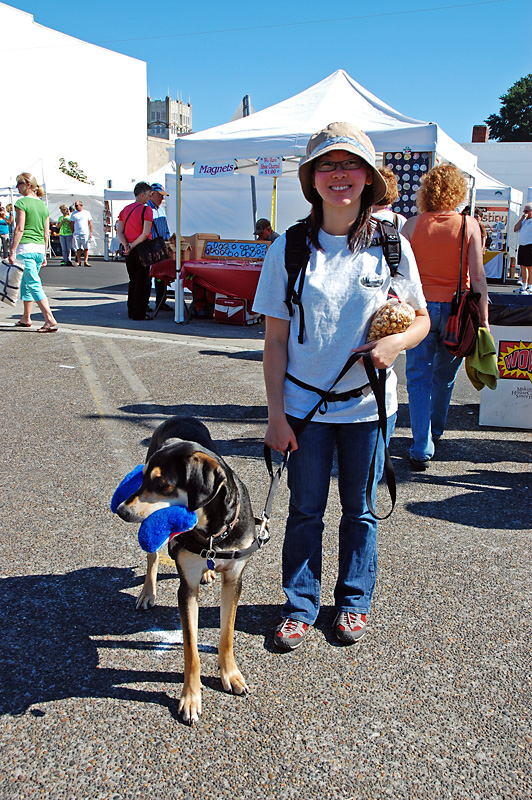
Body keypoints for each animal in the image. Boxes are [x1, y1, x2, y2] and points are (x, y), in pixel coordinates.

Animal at [116, 418, 258, 724]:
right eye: (143, 480)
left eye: (162, 484)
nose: (121, 510)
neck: (213, 532)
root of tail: (178, 418)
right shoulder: (186, 589)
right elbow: (191, 650)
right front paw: (191, 698)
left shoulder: (234, 580)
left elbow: (227, 634)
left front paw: (230, 675)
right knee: (152, 557)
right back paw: (147, 593)